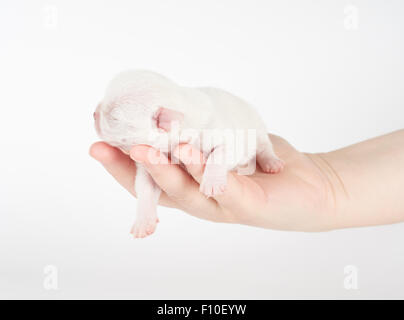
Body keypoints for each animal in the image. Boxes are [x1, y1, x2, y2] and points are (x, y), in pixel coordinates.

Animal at [94, 69, 284, 238]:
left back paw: (271, 163)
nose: (93, 113)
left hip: (257, 127)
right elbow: (145, 189)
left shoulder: (227, 140)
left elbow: (218, 155)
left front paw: (212, 183)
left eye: (114, 118)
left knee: (264, 146)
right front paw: (143, 222)